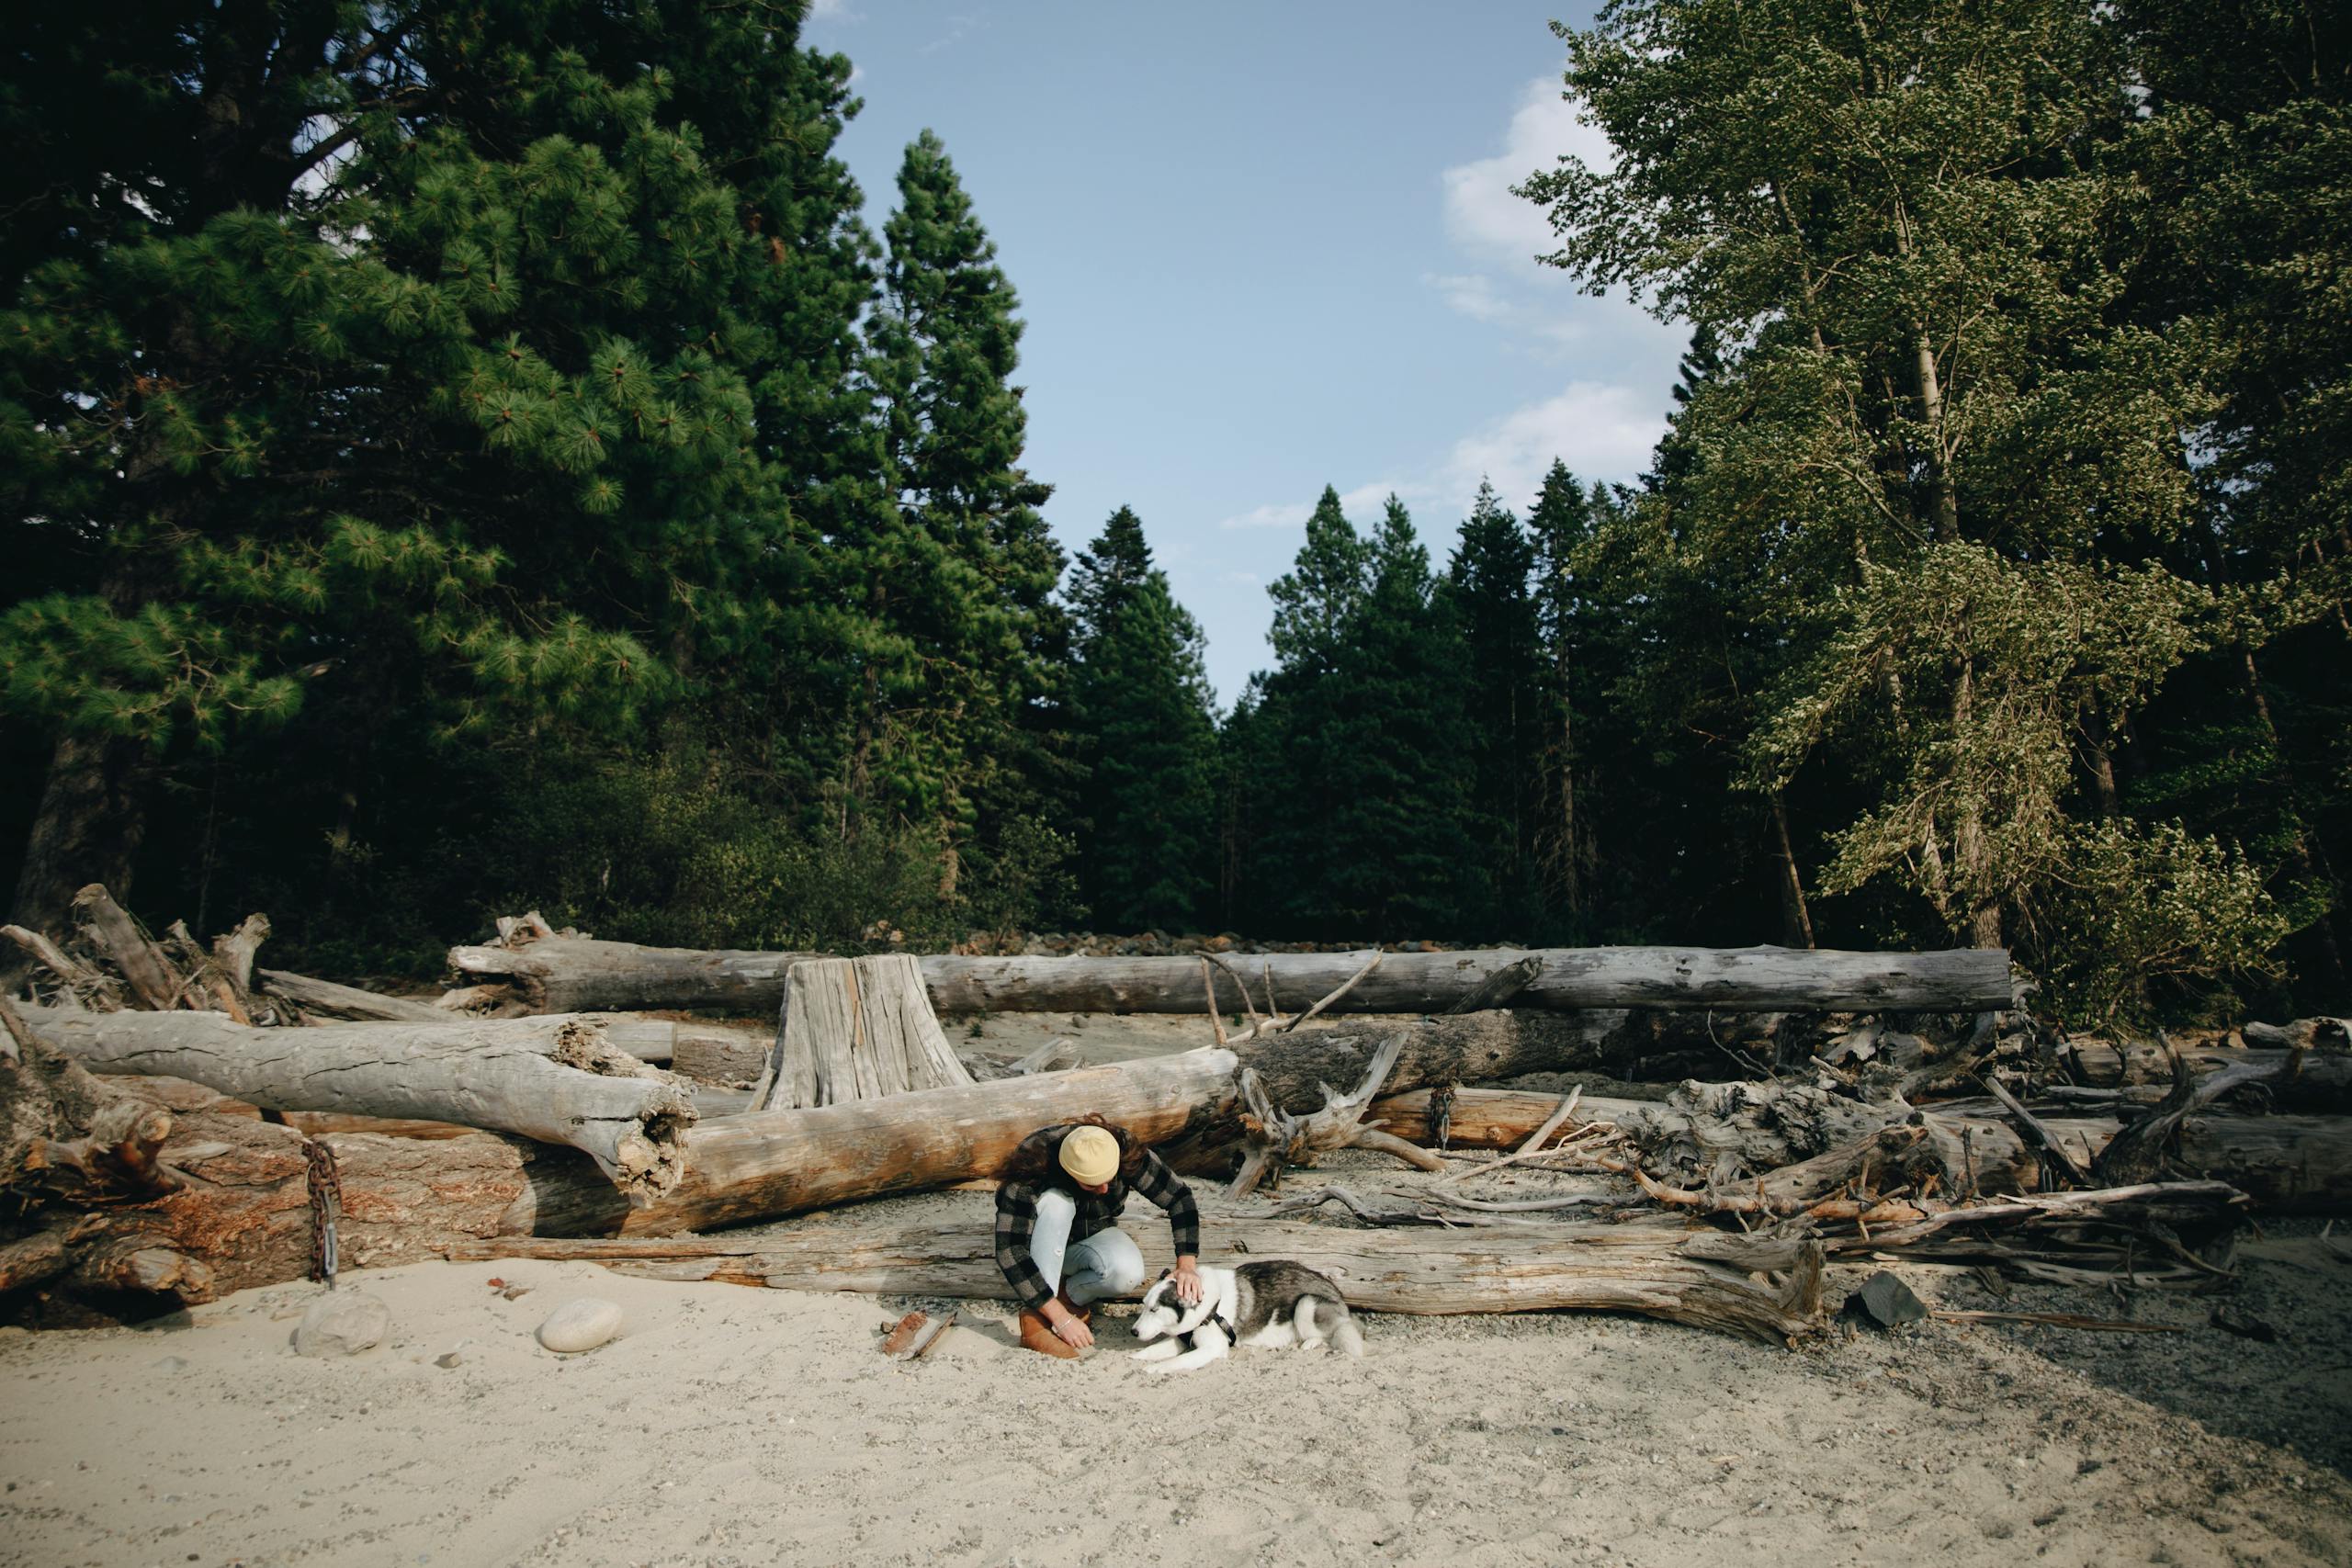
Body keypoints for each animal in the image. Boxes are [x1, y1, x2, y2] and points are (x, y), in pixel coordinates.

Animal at [1133, 1259, 1374, 1363]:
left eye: (1154, 1310)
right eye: (1144, 1305)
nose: (1133, 1332)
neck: (1210, 1308)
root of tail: (1336, 1292)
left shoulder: (1212, 1349)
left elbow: (1174, 1363)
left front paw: (1151, 1370)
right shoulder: (1182, 1338)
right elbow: (1153, 1350)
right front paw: (1136, 1357)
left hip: (1306, 1304)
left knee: (1333, 1332)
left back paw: (1311, 1342)